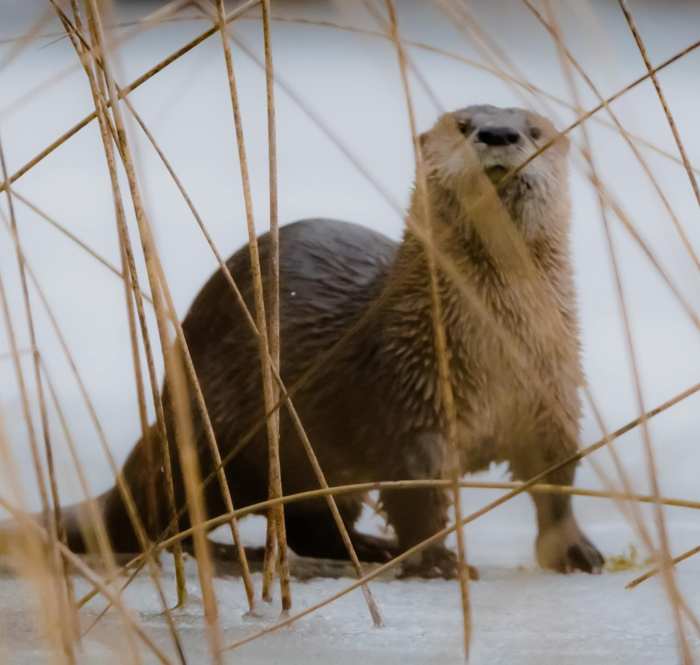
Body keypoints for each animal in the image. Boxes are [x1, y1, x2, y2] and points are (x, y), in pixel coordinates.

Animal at [3, 105, 603, 577]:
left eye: (533, 130)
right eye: (462, 125)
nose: (498, 135)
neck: (498, 355)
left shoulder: (553, 399)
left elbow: (558, 481)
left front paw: (575, 551)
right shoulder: (411, 399)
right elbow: (418, 496)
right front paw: (437, 562)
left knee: (308, 524)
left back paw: (366, 548)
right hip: (213, 432)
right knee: (162, 519)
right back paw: (230, 553)